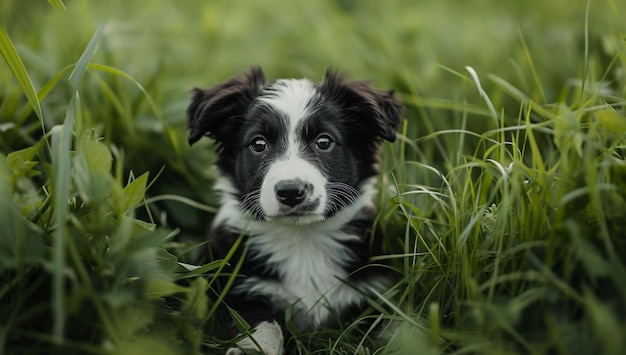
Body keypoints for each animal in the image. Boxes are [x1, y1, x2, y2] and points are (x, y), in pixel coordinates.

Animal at [186, 67, 400, 355]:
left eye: (324, 141)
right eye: (259, 144)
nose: (290, 192)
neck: (303, 239)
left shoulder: (373, 292)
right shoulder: (238, 288)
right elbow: (264, 326)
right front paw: (255, 350)